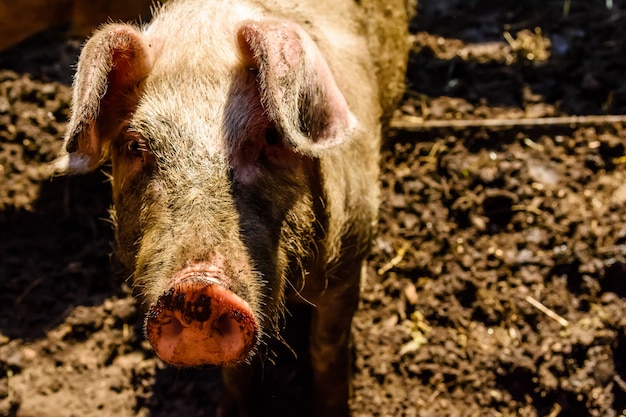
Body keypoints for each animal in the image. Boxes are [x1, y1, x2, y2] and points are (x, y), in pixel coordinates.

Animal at [56, 1, 412, 414]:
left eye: (270, 135)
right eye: (135, 146)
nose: (198, 286)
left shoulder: (351, 260)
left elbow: (327, 348)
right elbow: (237, 371)